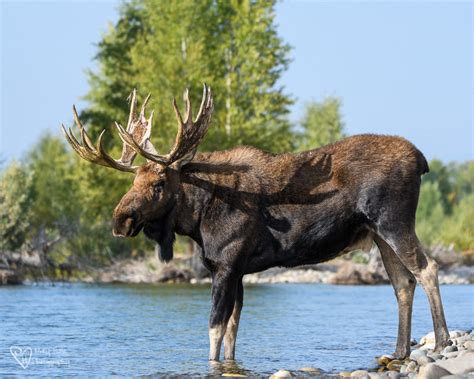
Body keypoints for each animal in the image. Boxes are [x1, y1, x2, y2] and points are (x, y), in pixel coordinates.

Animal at [61, 85, 450, 362]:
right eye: (133, 181)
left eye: (158, 183)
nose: (120, 220)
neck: (197, 218)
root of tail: (422, 160)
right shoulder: (237, 269)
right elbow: (233, 330)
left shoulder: (226, 264)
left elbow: (215, 328)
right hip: (377, 234)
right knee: (403, 283)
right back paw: (399, 351)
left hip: (394, 222)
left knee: (427, 269)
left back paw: (442, 342)